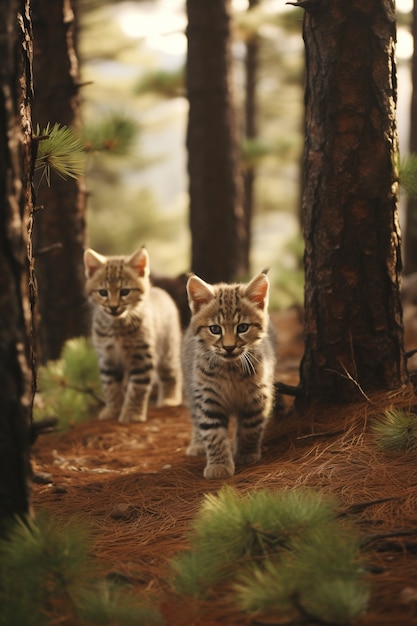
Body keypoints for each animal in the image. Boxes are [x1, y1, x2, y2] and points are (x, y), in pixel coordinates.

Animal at [83, 246, 181, 422]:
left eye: (125, 292)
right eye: (103, 293)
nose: (113, 307)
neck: (117, 326)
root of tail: (160, 291)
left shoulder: (142, 356)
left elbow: (137, 388)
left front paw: (132, 413)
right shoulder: (107, 357)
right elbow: (111, 386)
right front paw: (113, 410)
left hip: (168, 348)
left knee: (172, 372)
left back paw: (170, 399)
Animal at [183, 270, 276, 478]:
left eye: (243, 327)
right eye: (215, 329)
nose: (229, 347)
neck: (231, 368)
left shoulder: (258, 395)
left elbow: (251, 427)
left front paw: (246, 453)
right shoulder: (208, 398)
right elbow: (213, 434)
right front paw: (219, 465)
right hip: (191, 389)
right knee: (194, 418)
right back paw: (197, 444)